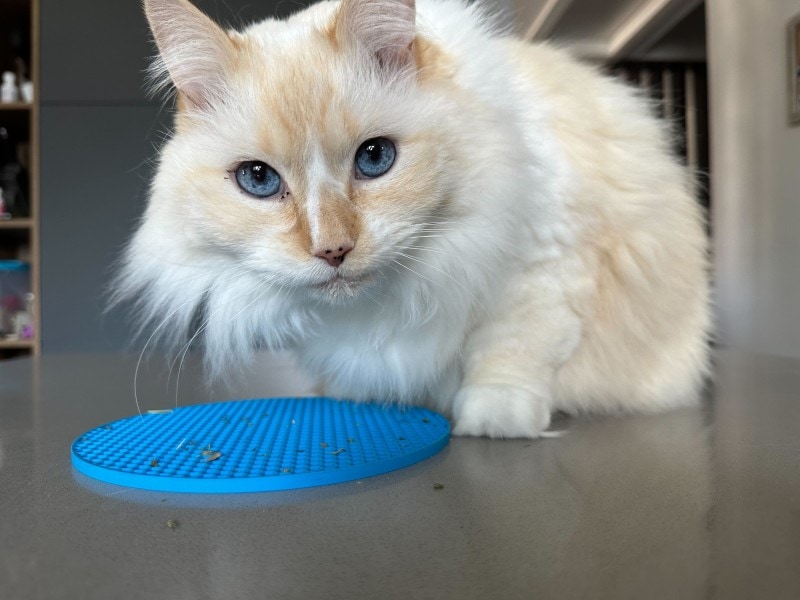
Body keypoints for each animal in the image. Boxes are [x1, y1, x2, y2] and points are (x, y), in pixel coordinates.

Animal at [115, 0, 708, 440]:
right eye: (258, 179)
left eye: (375, 157)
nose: (332, 250)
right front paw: (352, 397)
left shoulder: (542, 263)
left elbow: (513, 350)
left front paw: (493, 420)